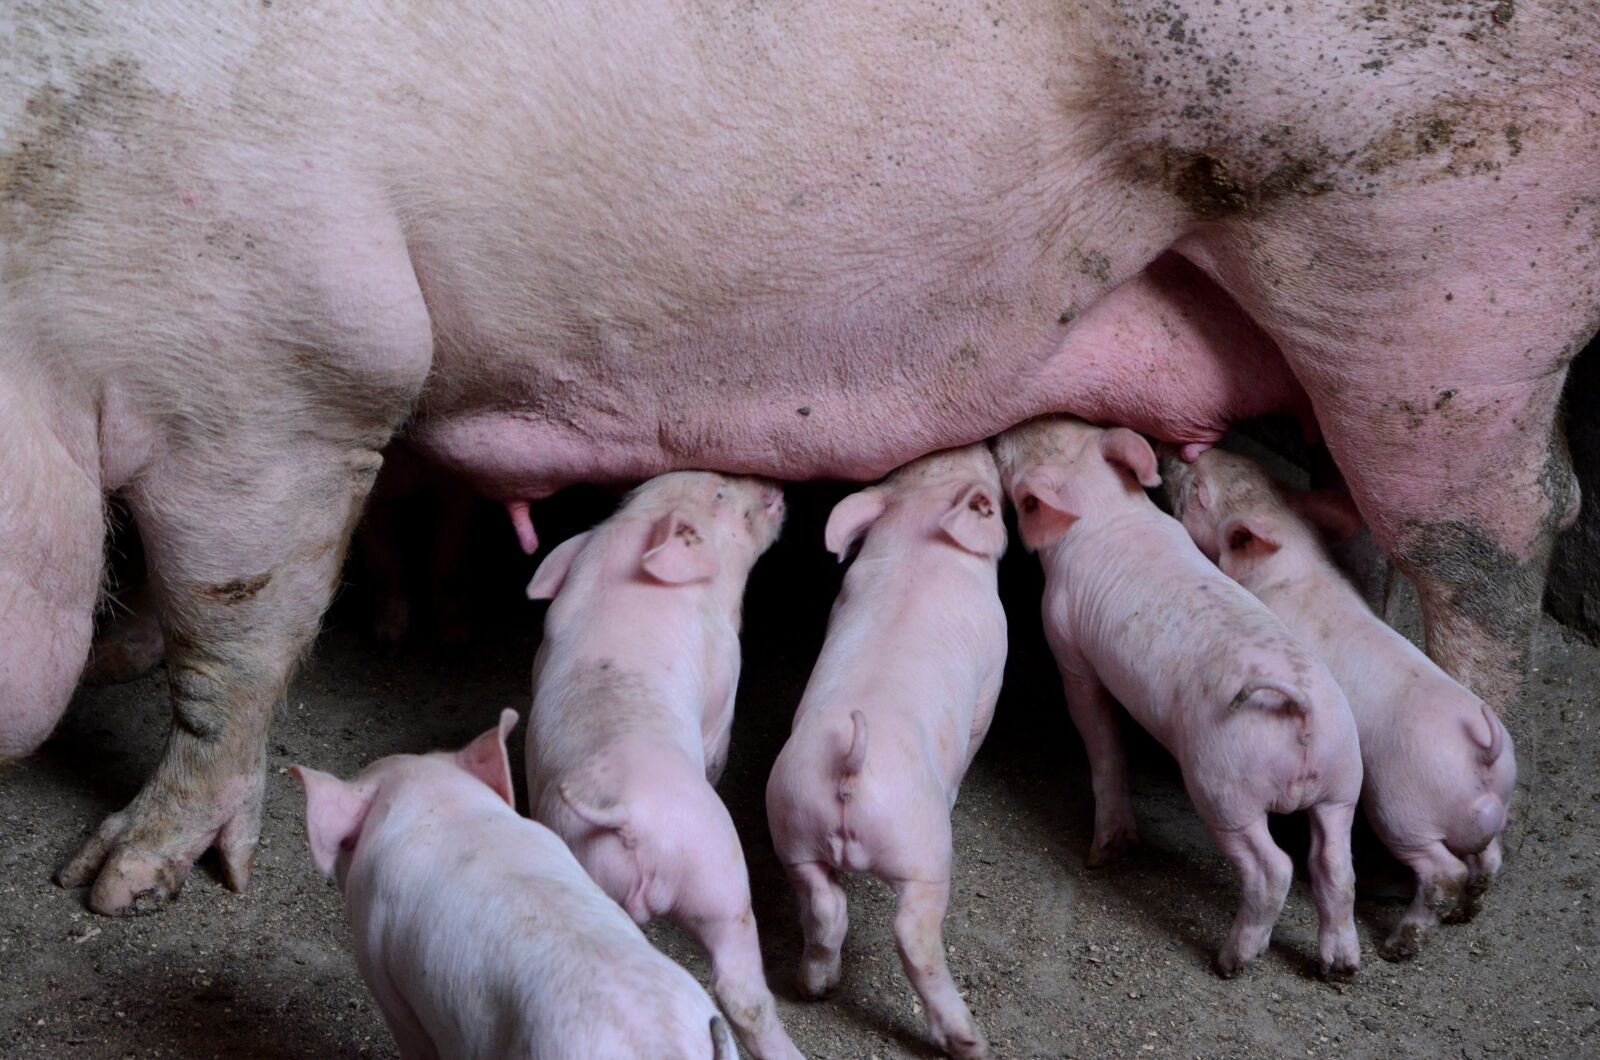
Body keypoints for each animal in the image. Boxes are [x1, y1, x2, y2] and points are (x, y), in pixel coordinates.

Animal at [523, 471, 798, 1060]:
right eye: (718, 493)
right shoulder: (724, 673)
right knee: (739, 984)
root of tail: (624, 812)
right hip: (717, 871)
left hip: (595, 875)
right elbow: (719, 738)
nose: (771, 480)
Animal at [765, 444, 1008, 1060]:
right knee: (913, 933)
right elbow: (980, 726)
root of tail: (850, 767)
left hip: (792, 823)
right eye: (991, 497)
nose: (978, 444)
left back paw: (814, 986)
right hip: (923, 850)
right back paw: (970, 1042)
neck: (919, 543)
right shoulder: (996, 662)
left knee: (824, 906)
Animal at [994, 416, 1365, 978]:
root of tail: (1299, 708)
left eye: (1018, 462)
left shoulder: (1066, 640)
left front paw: (1102, 855)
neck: (1106, 508)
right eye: (1072, 425)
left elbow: (1099, 734)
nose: (1002, 431)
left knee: (1274, 867)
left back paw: (1231, 961)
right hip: (1342, 780)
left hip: (1223, 782)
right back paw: (1339, 968)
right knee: (1336, 868)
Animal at [1166, 449, 1518, 960]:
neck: (1290, 551)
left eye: (1199, 493)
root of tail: (1482, 754)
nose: (1172, 453)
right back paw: (1466, 914)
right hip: (1487, 813)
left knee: (1441, 870)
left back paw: (1398, 946)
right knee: (1490, 857)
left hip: (1403, 807)